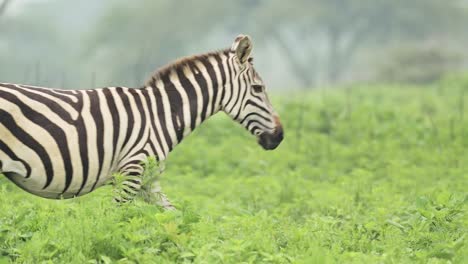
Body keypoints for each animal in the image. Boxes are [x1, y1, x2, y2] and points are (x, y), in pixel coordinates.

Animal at [0, 35, 284, 209]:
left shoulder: (149, 180)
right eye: (258, 89)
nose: (279, 137)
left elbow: (176, 220)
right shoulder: (131, 173)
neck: (160, 115)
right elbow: (112, 222)